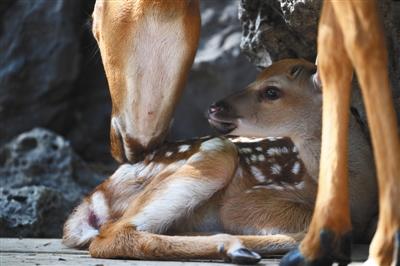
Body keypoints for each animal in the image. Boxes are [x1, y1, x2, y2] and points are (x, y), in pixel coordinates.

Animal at [64, 0, 398, 264]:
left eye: (272, 91)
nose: (216, 106)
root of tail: (93, 199)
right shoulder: (252, 198)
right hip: (218, 152)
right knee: (113, 235)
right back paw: (237, 246)